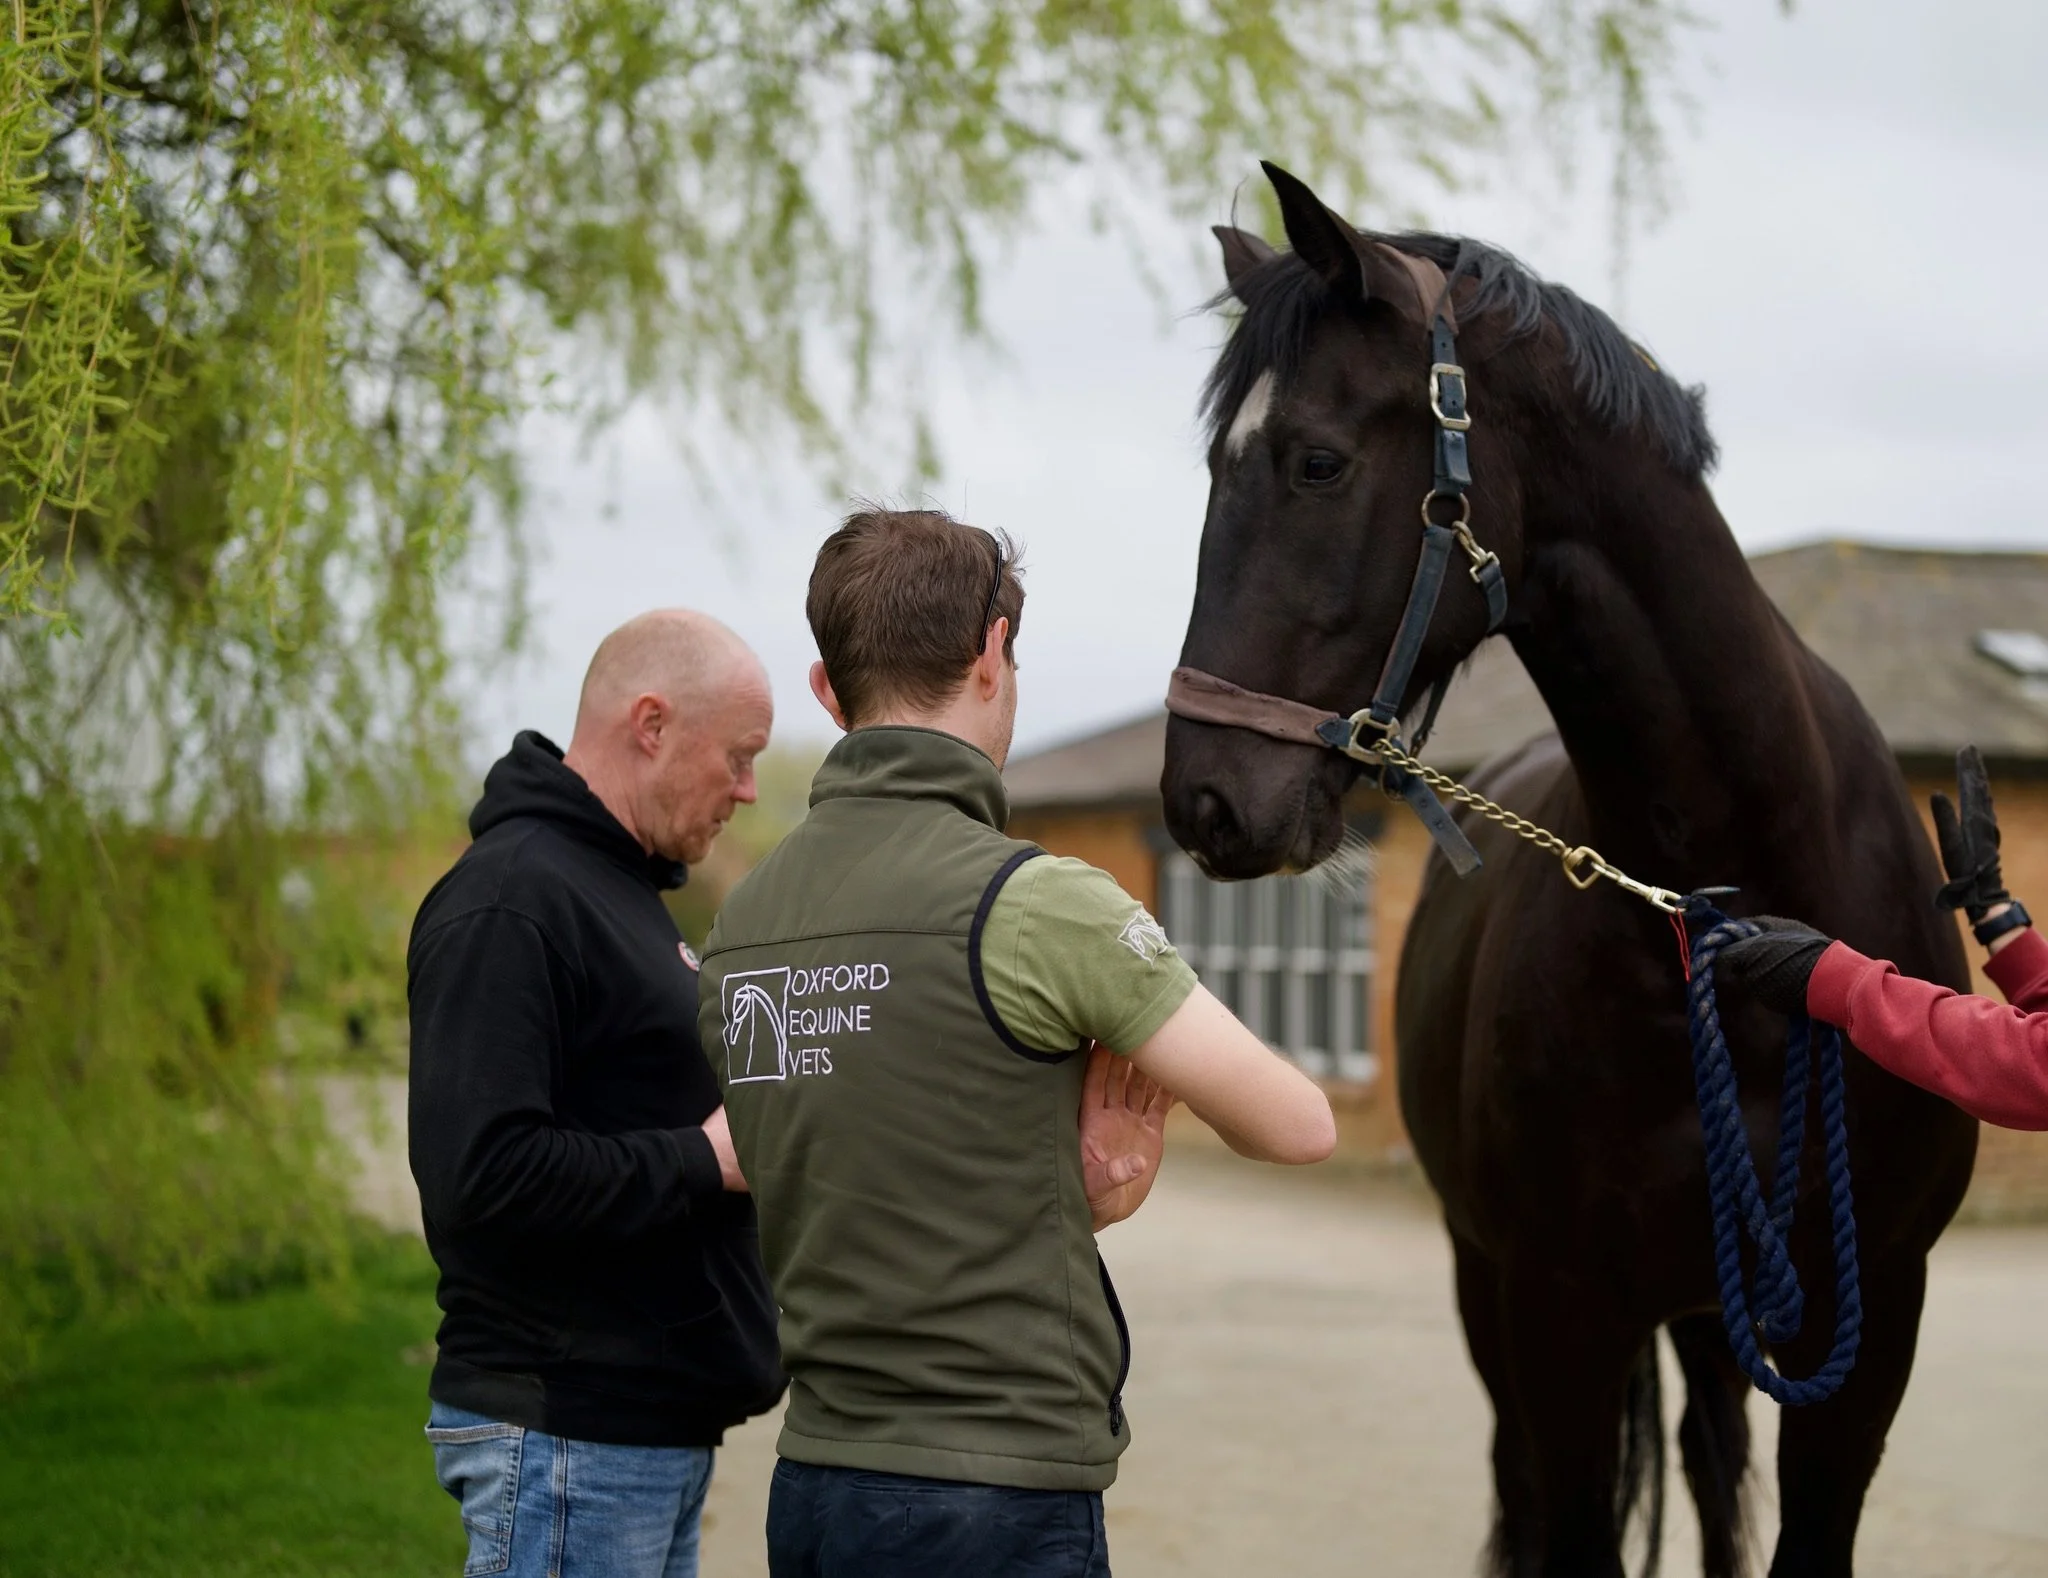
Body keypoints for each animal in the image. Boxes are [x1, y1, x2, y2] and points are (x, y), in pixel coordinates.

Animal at [1159, 162, 1977, 1577]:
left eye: (1315, 461)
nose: (1201, 795)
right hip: (1493, 1289)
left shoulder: (1871, 1324)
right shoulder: (1557, 1312)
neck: (1736, 918)